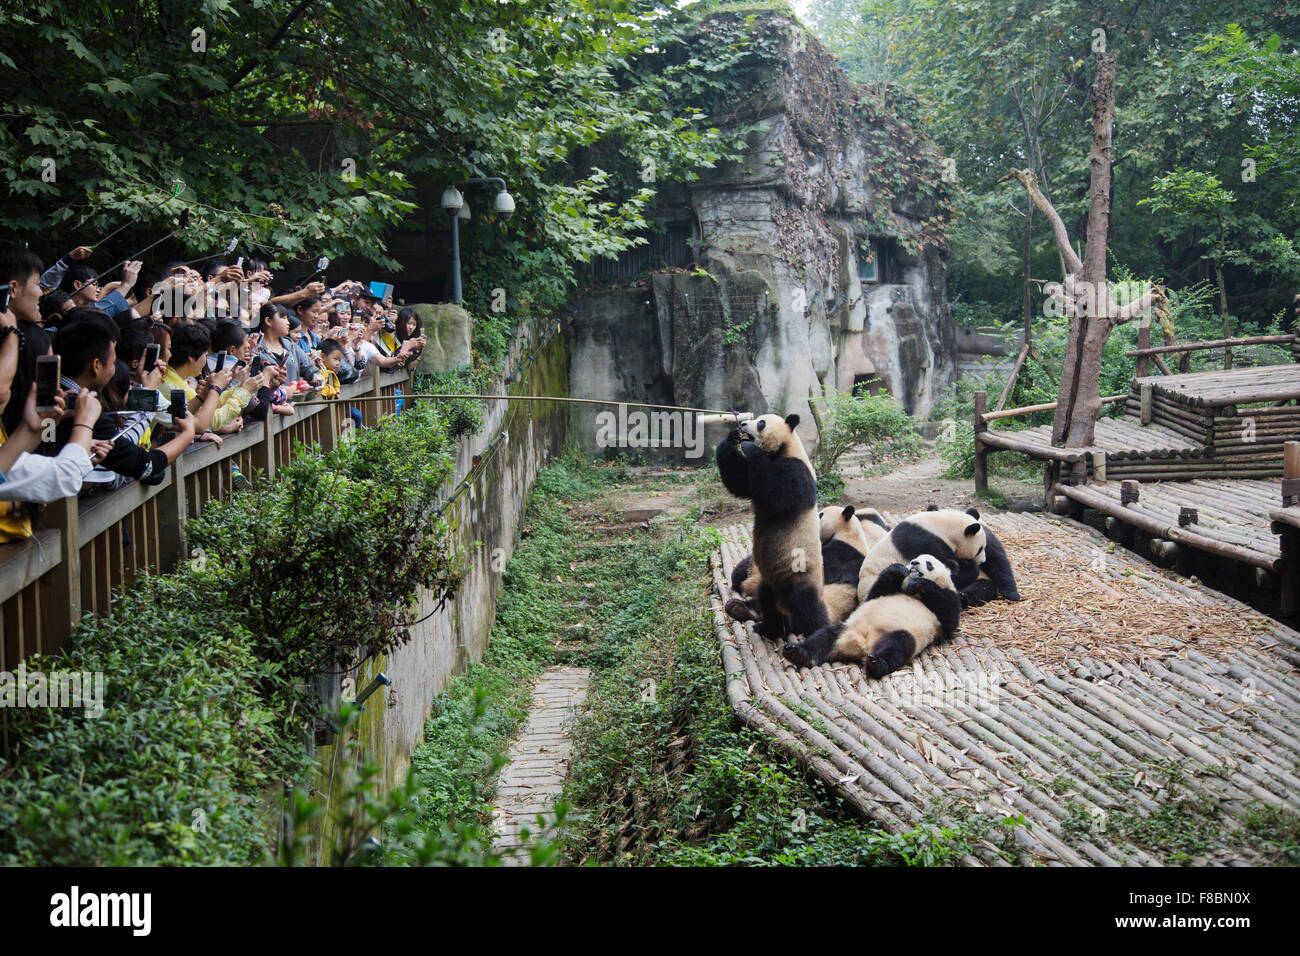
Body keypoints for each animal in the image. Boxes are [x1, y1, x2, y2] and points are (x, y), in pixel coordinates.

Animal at [717, 413, 826, 642]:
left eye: (761, 423)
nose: (743, 424)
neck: (784, 448)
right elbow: (739, 481)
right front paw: (732, 439)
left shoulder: (797, 471)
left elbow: (777, 494)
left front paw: (749, 446)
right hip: (769, 580)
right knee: (767, 602)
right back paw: (767, 628)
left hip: (800, 572)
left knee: (808, 605)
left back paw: (816, 633)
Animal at [780, 554, 967, 681]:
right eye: (914, 559)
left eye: (929, 564)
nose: (914, 563)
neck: (912, 593)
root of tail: (862, 645)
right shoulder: (886, 591)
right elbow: (876, 592)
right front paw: (897, 570)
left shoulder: (947, 601)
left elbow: (949, 617)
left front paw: (920, 583)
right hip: (847, 627)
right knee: (823, 637)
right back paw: (797, 652)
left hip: (905, 633)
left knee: (898, 646)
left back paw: (876, 664)